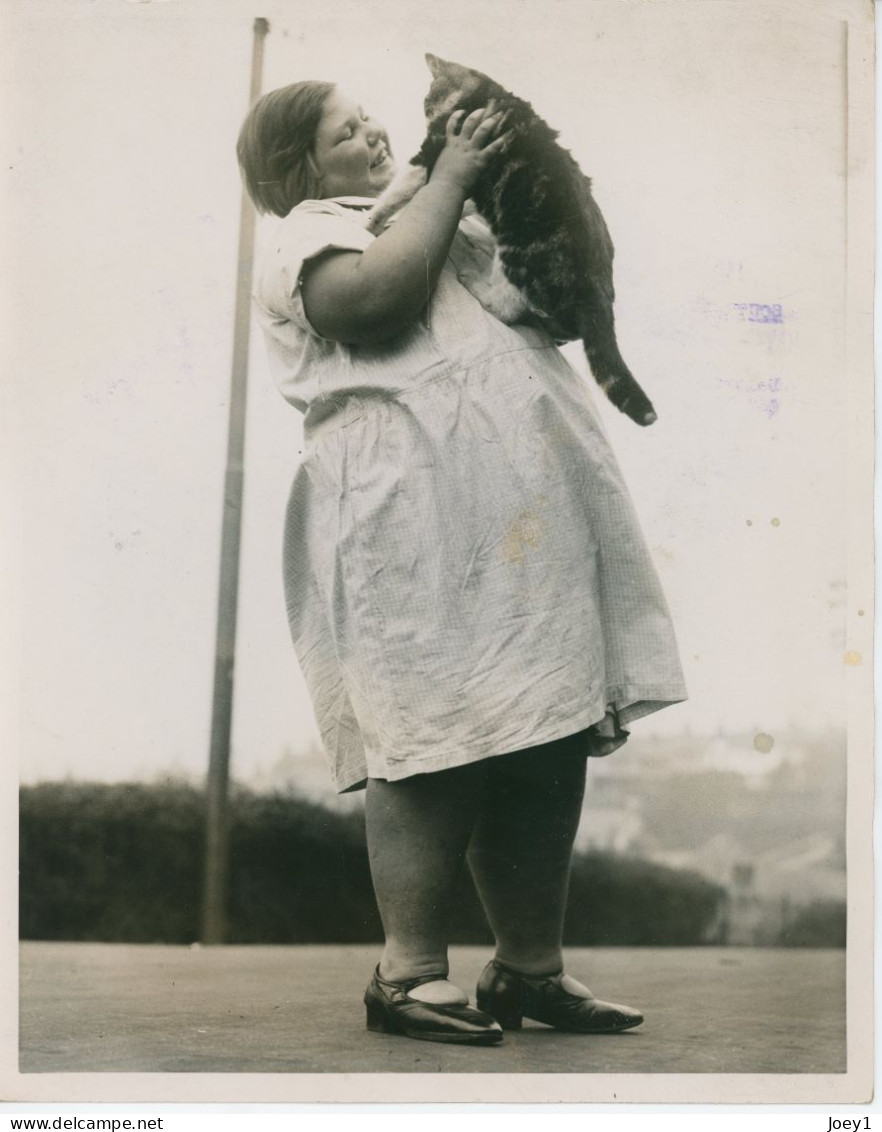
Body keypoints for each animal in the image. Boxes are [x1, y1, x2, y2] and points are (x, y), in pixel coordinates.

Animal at [364, 53, 656, 425]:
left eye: (427, 98)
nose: (426, 107)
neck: (491, 96)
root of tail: (598, 289)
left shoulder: (428, 159)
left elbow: (394, 194)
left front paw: (370, 219)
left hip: (515, 251)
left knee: (505, 305)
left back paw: (476, 284)